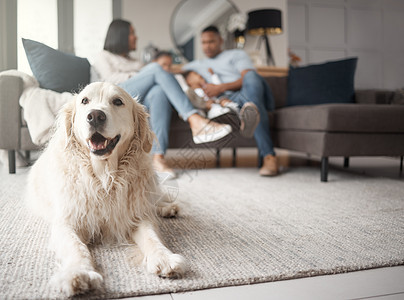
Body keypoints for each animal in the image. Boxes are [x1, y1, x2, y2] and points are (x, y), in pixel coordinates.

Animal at [26, 81, 187, 296]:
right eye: (85, 101)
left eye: (118, 101)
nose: (95, 116)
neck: (104, 177)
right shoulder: (66, 222)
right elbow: (76, 247)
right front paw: (78, 273)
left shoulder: (136, 215)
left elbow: (152, 237)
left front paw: (164, 257)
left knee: (155, 200)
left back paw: (168, 208)